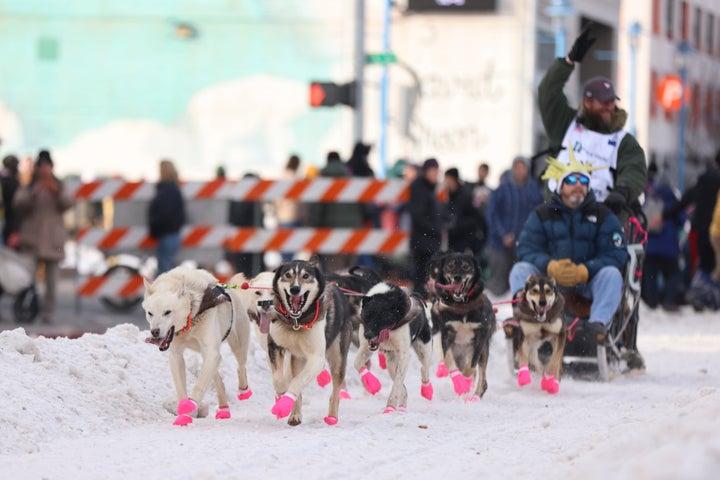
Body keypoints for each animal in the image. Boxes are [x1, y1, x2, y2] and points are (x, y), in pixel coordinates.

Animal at [142, 266, 252, 428]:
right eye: (150, 313)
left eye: (167, 312)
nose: (155, 332)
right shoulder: (176, 356)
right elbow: (181, 388)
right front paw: (183, 413)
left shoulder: (211, 351)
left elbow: (199, 385)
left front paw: (190, 405)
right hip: (209, 356)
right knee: (218, 379)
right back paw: (223, 409)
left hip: (237, 344)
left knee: (241, 366)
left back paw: (244, 391)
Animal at [268, 260, 352, 426]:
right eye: (288, 275)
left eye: (306, 276)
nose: (295, 289)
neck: (296, 322)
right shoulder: (274, 344)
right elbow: (279, 378)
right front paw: (282, 394)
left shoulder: (316, 358)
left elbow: (297, 381)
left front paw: (284, 402)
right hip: (297, 360)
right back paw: (295, 414)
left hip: (338, 358)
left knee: (335, 390)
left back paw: (332, 417)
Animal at [354, 282, 434, 412]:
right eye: (366, 316)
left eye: (381, 317)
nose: (368, 335)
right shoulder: (366, 348)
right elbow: (356, 363)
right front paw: (371, 382)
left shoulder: (404, 355)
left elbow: (397, 383)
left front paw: (390, 406)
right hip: (391, 361)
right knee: (400, 381)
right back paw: (402, 405)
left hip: (424, 350)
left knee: (424, 368)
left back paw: (427, 390)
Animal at [428, 251, 496, 402]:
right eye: (450, 266)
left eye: (466, 266)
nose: (457, 277)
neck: (462, 305)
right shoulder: (446, 333)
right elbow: (448, 360)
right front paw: (459, 382)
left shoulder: (481, 335)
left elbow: (471, 365)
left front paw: (465, 381)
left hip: (483, 349)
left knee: (481, 376)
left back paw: (475, 395)